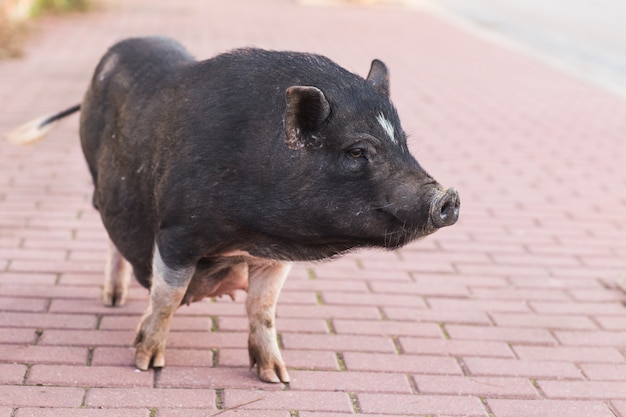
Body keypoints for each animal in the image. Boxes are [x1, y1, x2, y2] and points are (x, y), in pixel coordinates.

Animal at [8, 37, 458, 382]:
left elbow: (263, 310)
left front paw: (278, 378)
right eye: (358, 151)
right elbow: (167, 296)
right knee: (109, 230)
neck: (249, 233)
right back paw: (113, 301)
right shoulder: (178, 232)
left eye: (403, 143)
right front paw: (146, 362)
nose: (447, 197)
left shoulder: (273, 255)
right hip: (96, 175)